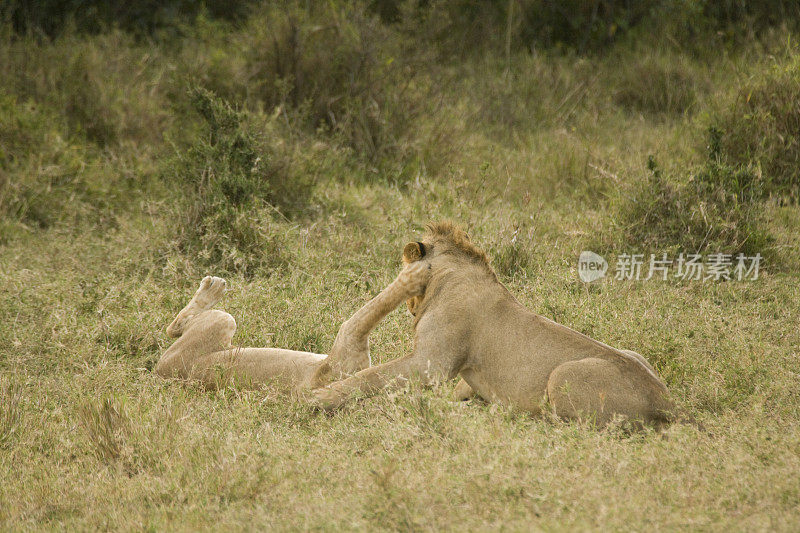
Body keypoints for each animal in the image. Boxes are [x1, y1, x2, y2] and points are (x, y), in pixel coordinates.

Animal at [159, 221, 680, 428]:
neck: (451, 277)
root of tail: (668, 405)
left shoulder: (429, 362)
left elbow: (366, 375)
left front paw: (311, 402)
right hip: (634, 354)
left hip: (562, 377)